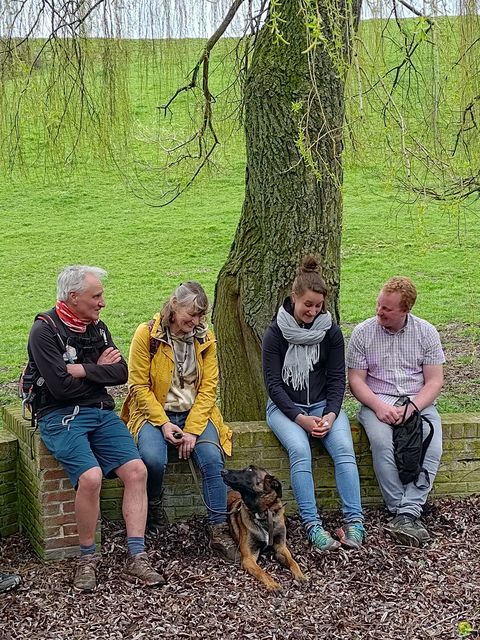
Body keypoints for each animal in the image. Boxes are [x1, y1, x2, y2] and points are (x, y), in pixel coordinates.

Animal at [221, 464, 308, 592]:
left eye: (250, 470)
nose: (222, 471)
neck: (263, 514)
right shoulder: (249, 558)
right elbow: (262, 572)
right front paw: (273, 585)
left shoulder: (280, 547)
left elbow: (293, 562)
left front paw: (301, 576)